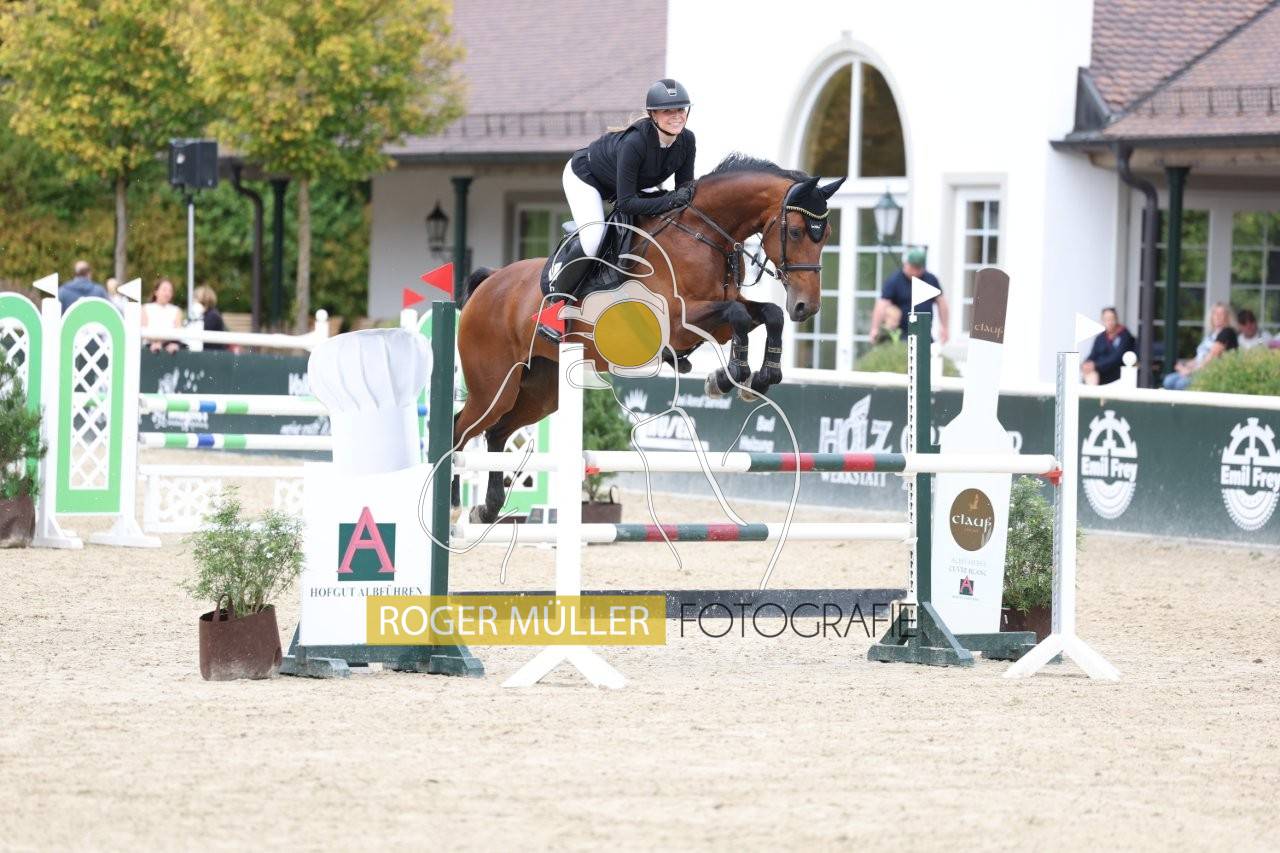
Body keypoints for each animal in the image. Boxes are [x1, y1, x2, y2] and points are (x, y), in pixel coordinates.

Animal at [453, 154, 845, 523]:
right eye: (796, 232)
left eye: (825, 235)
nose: (806, 306)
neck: (704, 236)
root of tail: (490, 281)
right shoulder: (676, 321)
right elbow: (739, 317)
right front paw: (730, 376)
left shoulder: (717, 316)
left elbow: (766, 315)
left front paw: (756, 379)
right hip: (494, 387)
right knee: (461, 428)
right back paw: (454, 501)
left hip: (540, 391)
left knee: (497, 432)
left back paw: (486, 508)